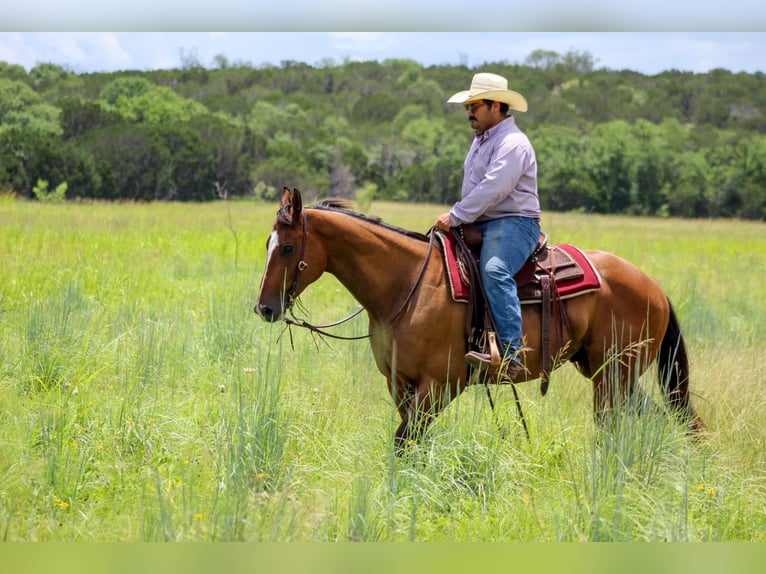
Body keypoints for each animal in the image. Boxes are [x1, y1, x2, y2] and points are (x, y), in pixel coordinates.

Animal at [256, 189, 708, 454]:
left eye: (289, 247)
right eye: (267, 244)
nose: (264, 308)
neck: (406, 283)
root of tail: (653, 286)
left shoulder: (440, 385)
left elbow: (406, 440)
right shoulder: (400, 383)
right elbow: (407, 441)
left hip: (613, 375)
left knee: (614, 426)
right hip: (609, 373)